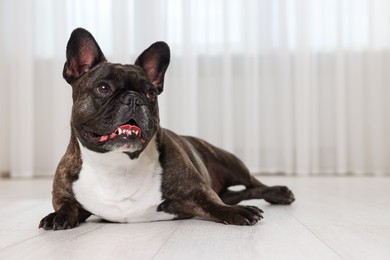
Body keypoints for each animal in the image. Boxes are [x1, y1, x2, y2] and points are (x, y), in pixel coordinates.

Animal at [38, 27, 296, 230]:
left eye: (151, 93)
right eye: (103, 88)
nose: (134, 99)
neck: (117, 164)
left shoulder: (197, 191)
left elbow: (215, 204)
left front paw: (237, 212)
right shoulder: (65, 192)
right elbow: (66, 205)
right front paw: (57, 217)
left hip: (229, 161)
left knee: (253, 184)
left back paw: (279, 193)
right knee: (239, 192)